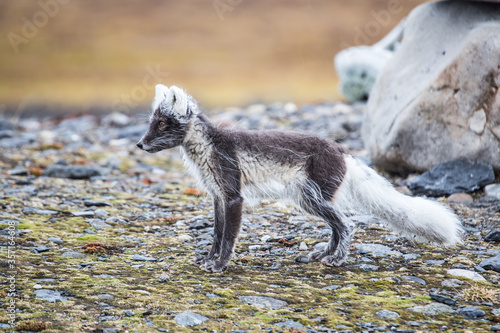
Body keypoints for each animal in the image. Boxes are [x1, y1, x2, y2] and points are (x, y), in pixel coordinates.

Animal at [136, 84, 460, 272]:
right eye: (152, 122)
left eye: (162, 123)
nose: (139, 144)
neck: (206, 148)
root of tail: (343, 151)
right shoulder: (217, 196)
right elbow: (216, 233)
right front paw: (207, 259)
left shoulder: (234, 195)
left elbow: (228, 236)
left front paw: (219, 265)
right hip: (310, 200)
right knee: (338, 227)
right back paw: (321, 256)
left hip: (315, 197)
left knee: (348, 224)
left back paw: (336, 260)